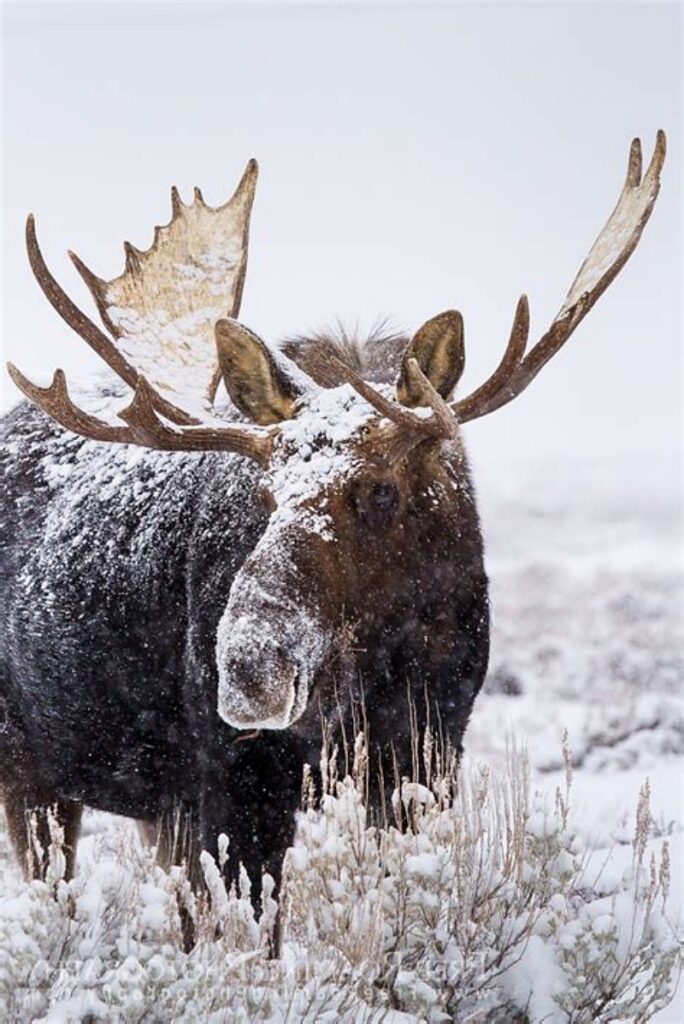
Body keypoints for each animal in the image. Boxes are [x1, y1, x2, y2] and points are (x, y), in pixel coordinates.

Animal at [0, 130, 663, 921]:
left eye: (381, 490)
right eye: (264, 492)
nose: (249, 671)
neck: (381, 666)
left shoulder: (426, 751)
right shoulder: (236, 774)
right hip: (31, 770)